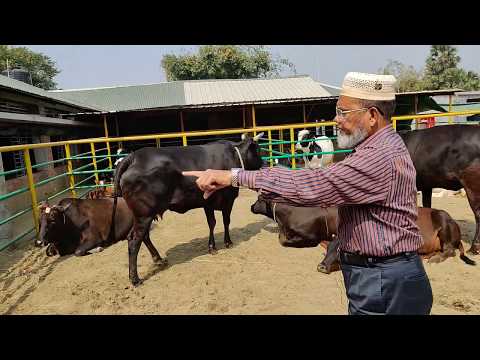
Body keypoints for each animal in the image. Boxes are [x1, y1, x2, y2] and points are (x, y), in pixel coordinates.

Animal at [112, 134, 262, 286]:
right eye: (258, 150)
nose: (264, 164)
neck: (233, 155)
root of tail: (134, 156)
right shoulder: (228, 199)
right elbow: (226, 221)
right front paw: (228, 242)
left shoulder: (208, 202)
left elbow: (212, 223)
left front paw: (212, 247)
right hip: (144, 214)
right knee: (134, 240)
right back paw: (135, 278)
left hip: (143, 215)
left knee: (143, 236)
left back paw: (158, 259)